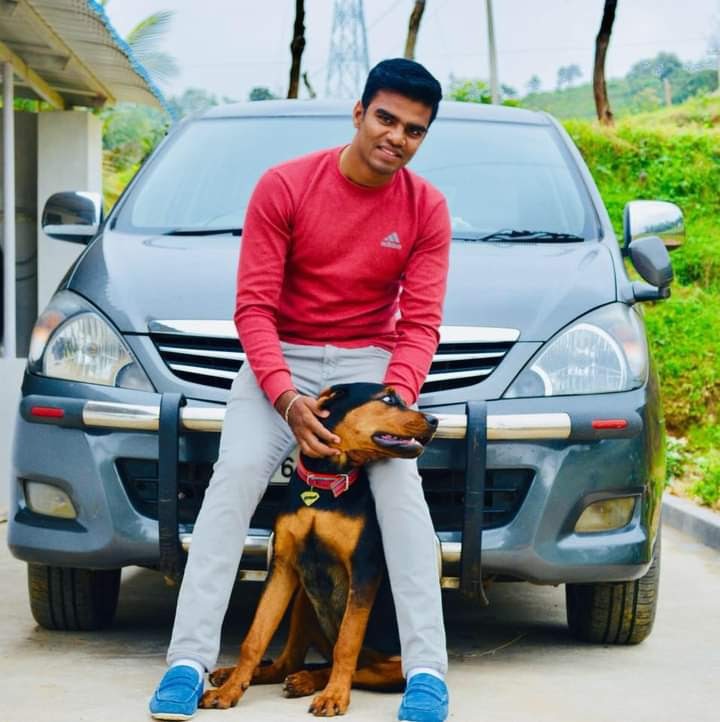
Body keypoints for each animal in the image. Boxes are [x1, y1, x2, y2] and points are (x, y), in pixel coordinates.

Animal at [199, 382, 438, 716]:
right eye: (389, 398)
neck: (325, 483)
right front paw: (231, 690)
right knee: (288, 663)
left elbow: (347, 642)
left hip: (393, 668)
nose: (434, 421)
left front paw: (335, 696)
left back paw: (311, 683)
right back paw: (237, 674)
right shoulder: (284, 567)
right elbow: (255, 637)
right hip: (303, 596)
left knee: (349, 668)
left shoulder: (364, 569)